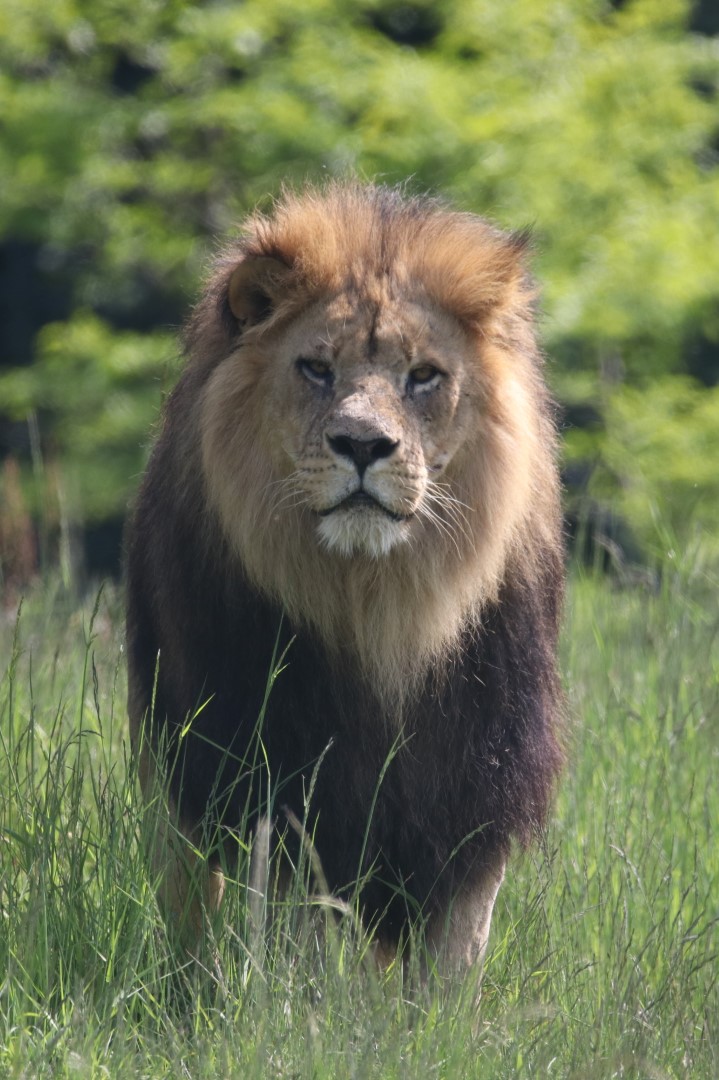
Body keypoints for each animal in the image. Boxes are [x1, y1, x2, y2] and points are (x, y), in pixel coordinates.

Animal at [126, 182, 565, 975]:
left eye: (423, 376)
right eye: (316, 369)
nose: (363, 445)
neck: (380, 609)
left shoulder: (478, 776)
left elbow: (456, 946)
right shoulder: (280, 771)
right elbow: (300, 930)